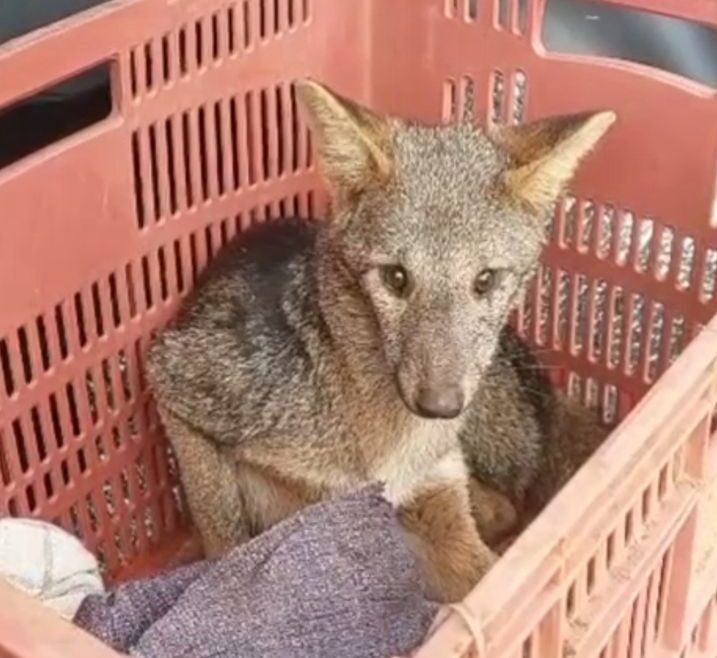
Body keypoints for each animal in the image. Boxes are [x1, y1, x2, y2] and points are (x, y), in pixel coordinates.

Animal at [145, 78, 614, 603]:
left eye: (485, 280)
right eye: (396, 278)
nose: (440, 405)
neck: (384, 444)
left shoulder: (433, 490)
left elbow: (488, 584)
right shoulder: (176, 381)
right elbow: (222, 537)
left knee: (505, 507)